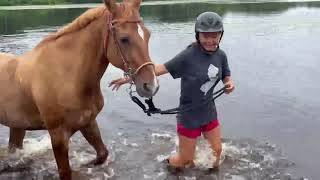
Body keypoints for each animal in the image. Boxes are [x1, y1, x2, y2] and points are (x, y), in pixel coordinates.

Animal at [0, 0, 159, 179]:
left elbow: (102, 153)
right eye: (124, 39)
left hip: (17, 126)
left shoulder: (88, 122)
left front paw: (86, 165)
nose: (151, 85)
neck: (67, 76)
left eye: (147, 35)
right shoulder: (58, 135)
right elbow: (65, 171)